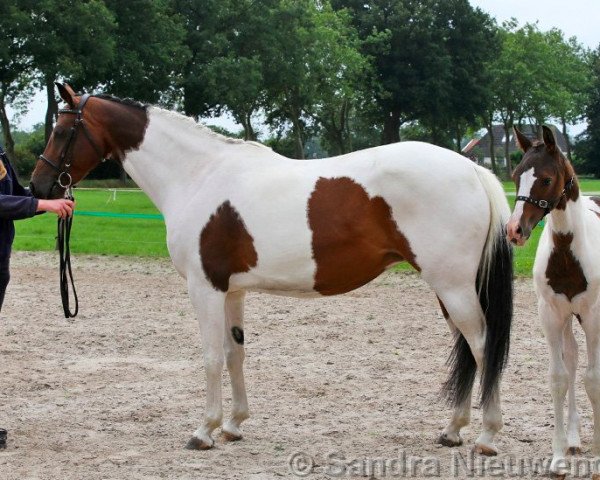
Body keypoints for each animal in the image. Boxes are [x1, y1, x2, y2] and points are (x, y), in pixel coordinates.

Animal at [30, 85, 512, 454]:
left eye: (61, 130)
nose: (37, 186)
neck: (199, 175)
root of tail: (472, 170)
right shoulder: (232, 291)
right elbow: (234, 352)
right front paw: (233, 425)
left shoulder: (204, 288)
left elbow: (210, 356)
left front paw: (203, 431)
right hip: (448, 289)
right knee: (467, 349)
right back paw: (452, 430)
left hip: (452, 286)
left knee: (482, 346)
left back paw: (487, 436)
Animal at [508, 126, 600, 476]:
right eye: (515, 176)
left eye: (546, 179)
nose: (514, 230)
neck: (567, 252)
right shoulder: (550, 315)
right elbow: (559, 378)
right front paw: (559, 455)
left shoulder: (593, 315)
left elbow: (594, 380)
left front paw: (599, 458)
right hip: (568, 319)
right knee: (572, 358)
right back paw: (573, 439)